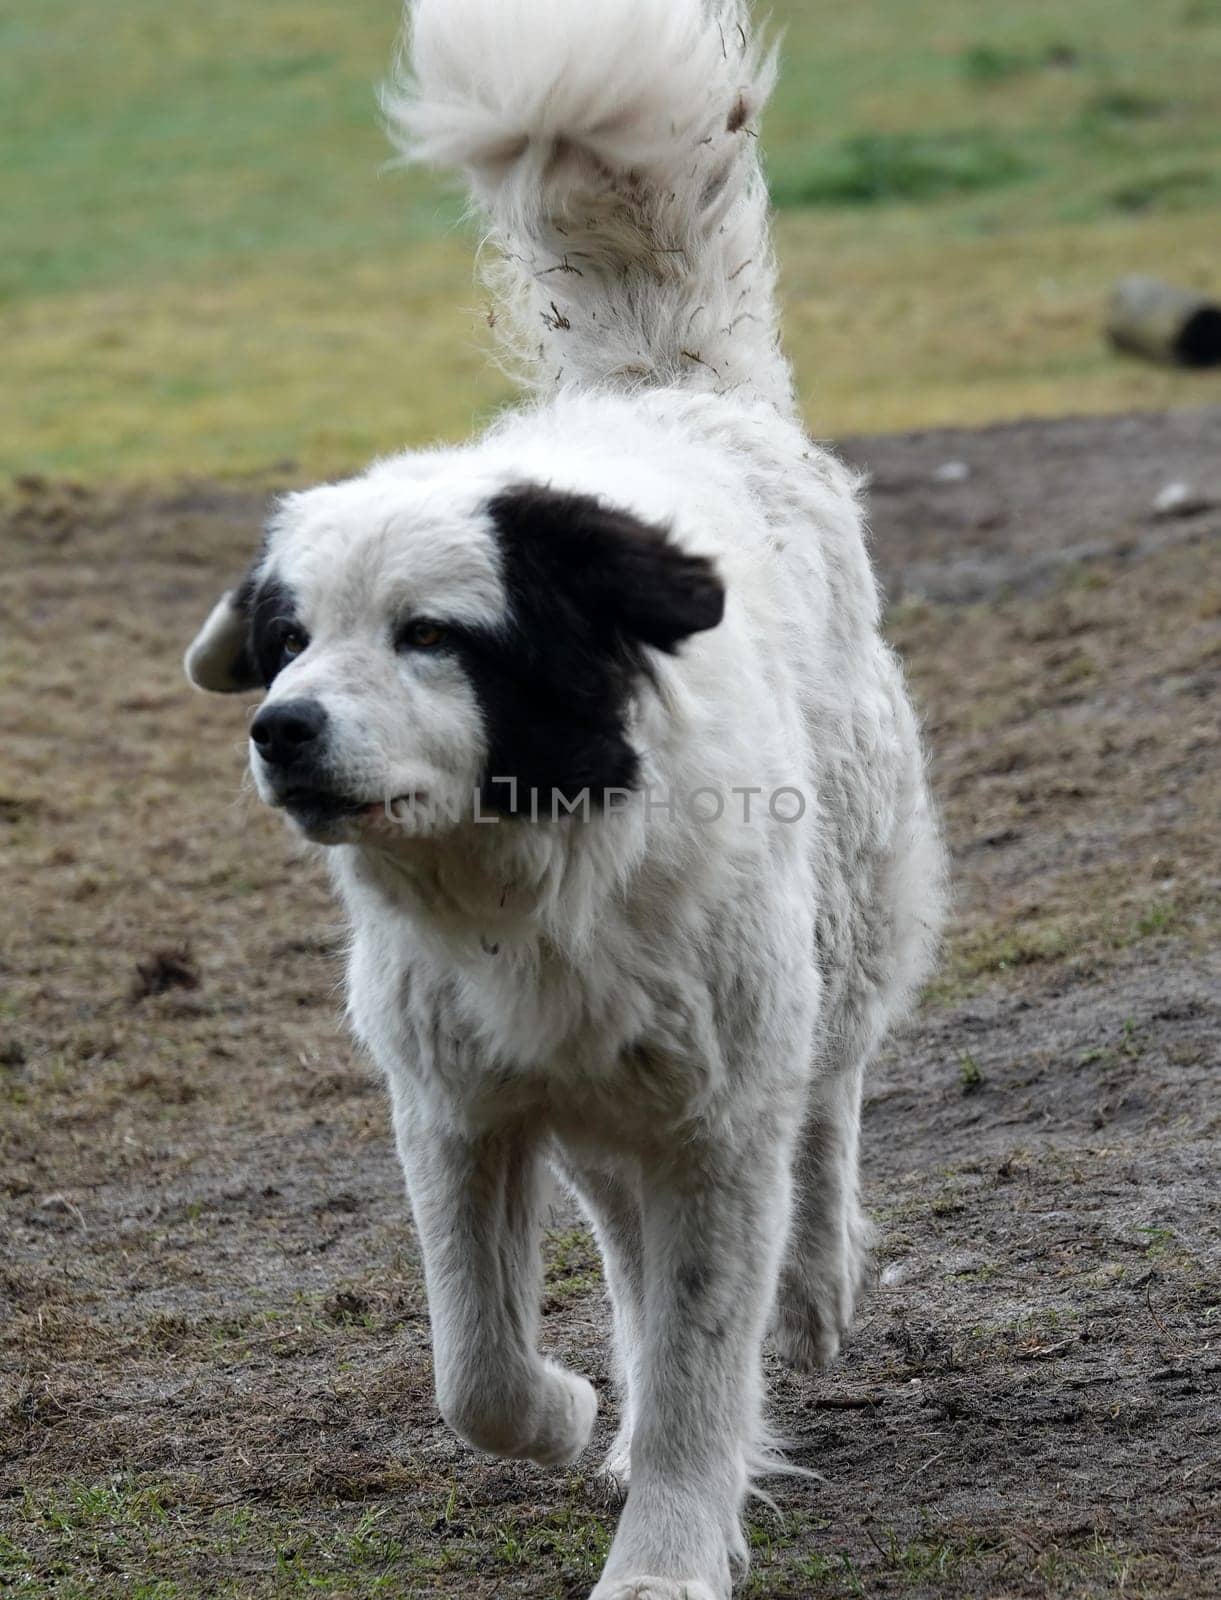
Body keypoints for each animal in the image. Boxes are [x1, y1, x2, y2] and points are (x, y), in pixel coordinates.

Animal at [184, 6, 947, 1593]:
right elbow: (473, 1367)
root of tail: (664, 388)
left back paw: (815, 1285)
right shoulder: (460, 1107)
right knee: (630, 1246)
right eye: (287, 641)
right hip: (602, 1106)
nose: (281, 730)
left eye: (430, 633)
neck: (524, 872)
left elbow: (706, 1350)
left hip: (842, 927)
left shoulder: (716, 1122)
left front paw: (667, 1549)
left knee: (832, 1092)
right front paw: (570, 1411)